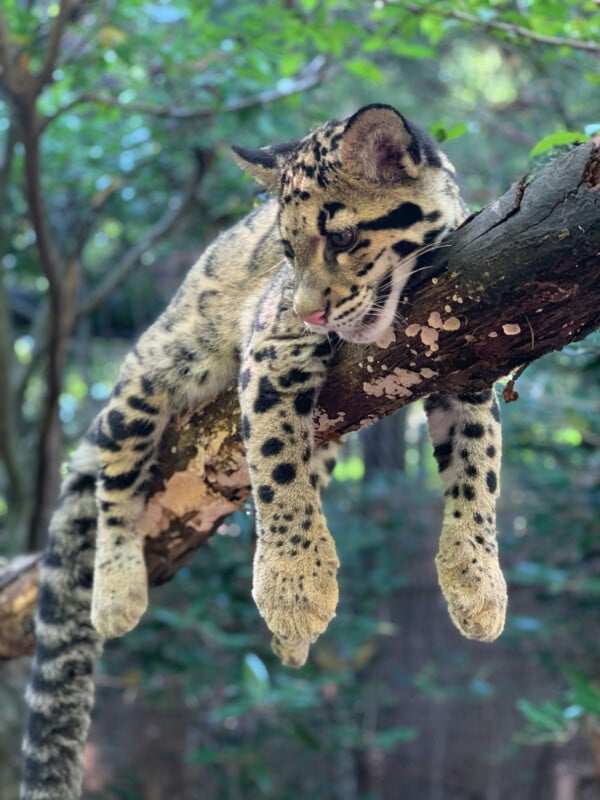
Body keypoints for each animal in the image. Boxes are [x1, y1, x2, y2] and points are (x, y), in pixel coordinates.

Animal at [20, 103, 507, 800]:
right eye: (284, 251)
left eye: (341, 239)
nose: (308, 313)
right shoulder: (274, 351)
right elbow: (279, 471)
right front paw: (295, 588)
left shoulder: (470, 365)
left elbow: (478, 474)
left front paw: (477, 583)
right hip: (147, 378)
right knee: (116, 477)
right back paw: (116, 592)